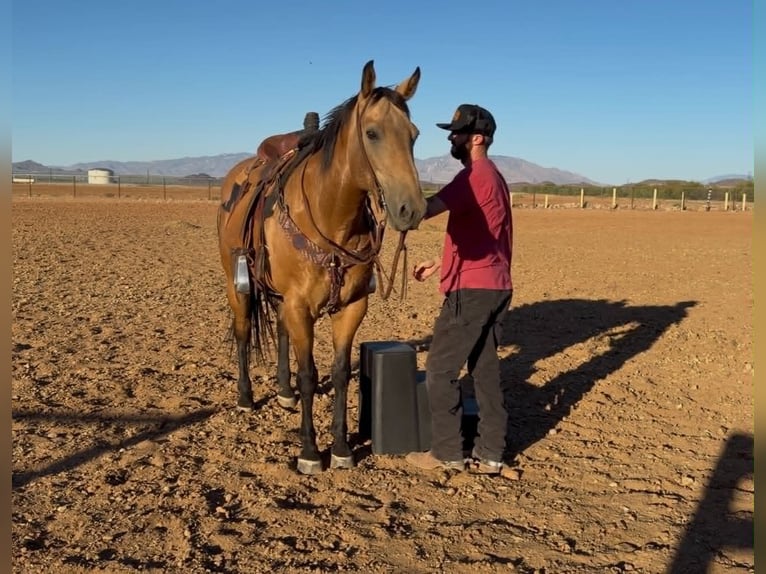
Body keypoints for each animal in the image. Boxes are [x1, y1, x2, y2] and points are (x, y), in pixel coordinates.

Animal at [217, 61, 427, 474]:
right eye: (372, 133)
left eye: (414, 135)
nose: (411, 210)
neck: (332, 217)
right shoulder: (301, 307)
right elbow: (310, 375)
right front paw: (310, 452)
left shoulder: (350, 307)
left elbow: (342, 373)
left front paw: (343, 447)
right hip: (238, 285)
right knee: (243, 332)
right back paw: (246, 397)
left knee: (280, 331)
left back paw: (284, 392)